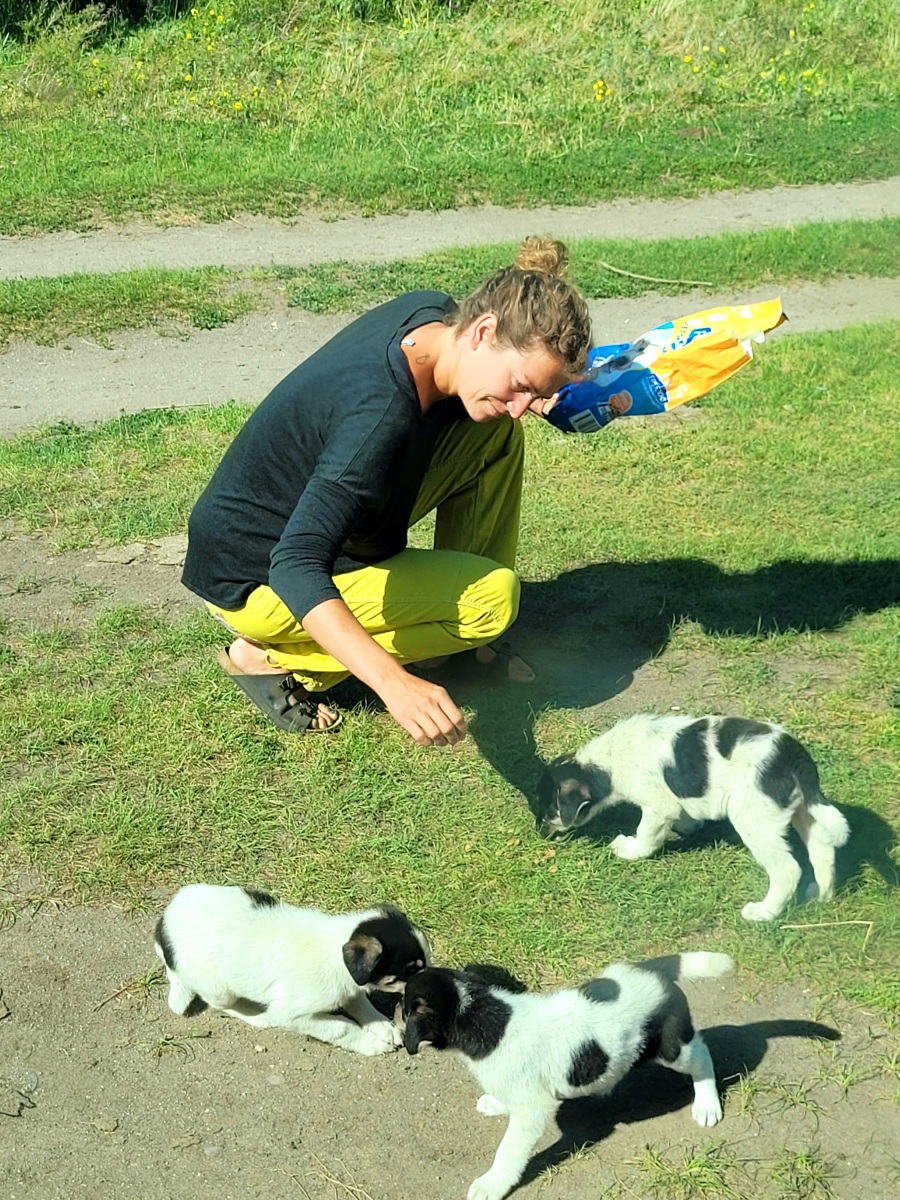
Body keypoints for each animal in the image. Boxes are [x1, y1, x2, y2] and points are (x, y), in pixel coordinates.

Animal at [154, 884, 430, 1055]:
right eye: (409, 971)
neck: (336, 949)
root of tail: (161, 929)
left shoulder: (350, 988)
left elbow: (360, 1003)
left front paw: (383, 1026)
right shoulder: (290, 1014)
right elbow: (341, 1027)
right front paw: (371, 1044)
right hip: (219, 988)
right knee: (221, 1004)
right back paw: (256, 1015)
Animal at [402, 952, 733, 1200]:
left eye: (404, 1010)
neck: (485, 1016)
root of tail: (653, 970)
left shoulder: (533, 1111)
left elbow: (507, 1151)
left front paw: (491, 1185)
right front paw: (496, 1103)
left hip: (671, 1047)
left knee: (702, 1055)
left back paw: (707, 1105)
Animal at [536, 714, 850, 921]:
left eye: (549, 809)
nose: (539, 834)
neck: (608, 763)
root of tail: (792, 755)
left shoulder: (657, 805)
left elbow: (646, 834)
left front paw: (630, 849)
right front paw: (689, 825)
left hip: (754, 818)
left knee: (787, 870)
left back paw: (764, 912)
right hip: (804, 811)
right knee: (823, 852)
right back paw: (821, 895)